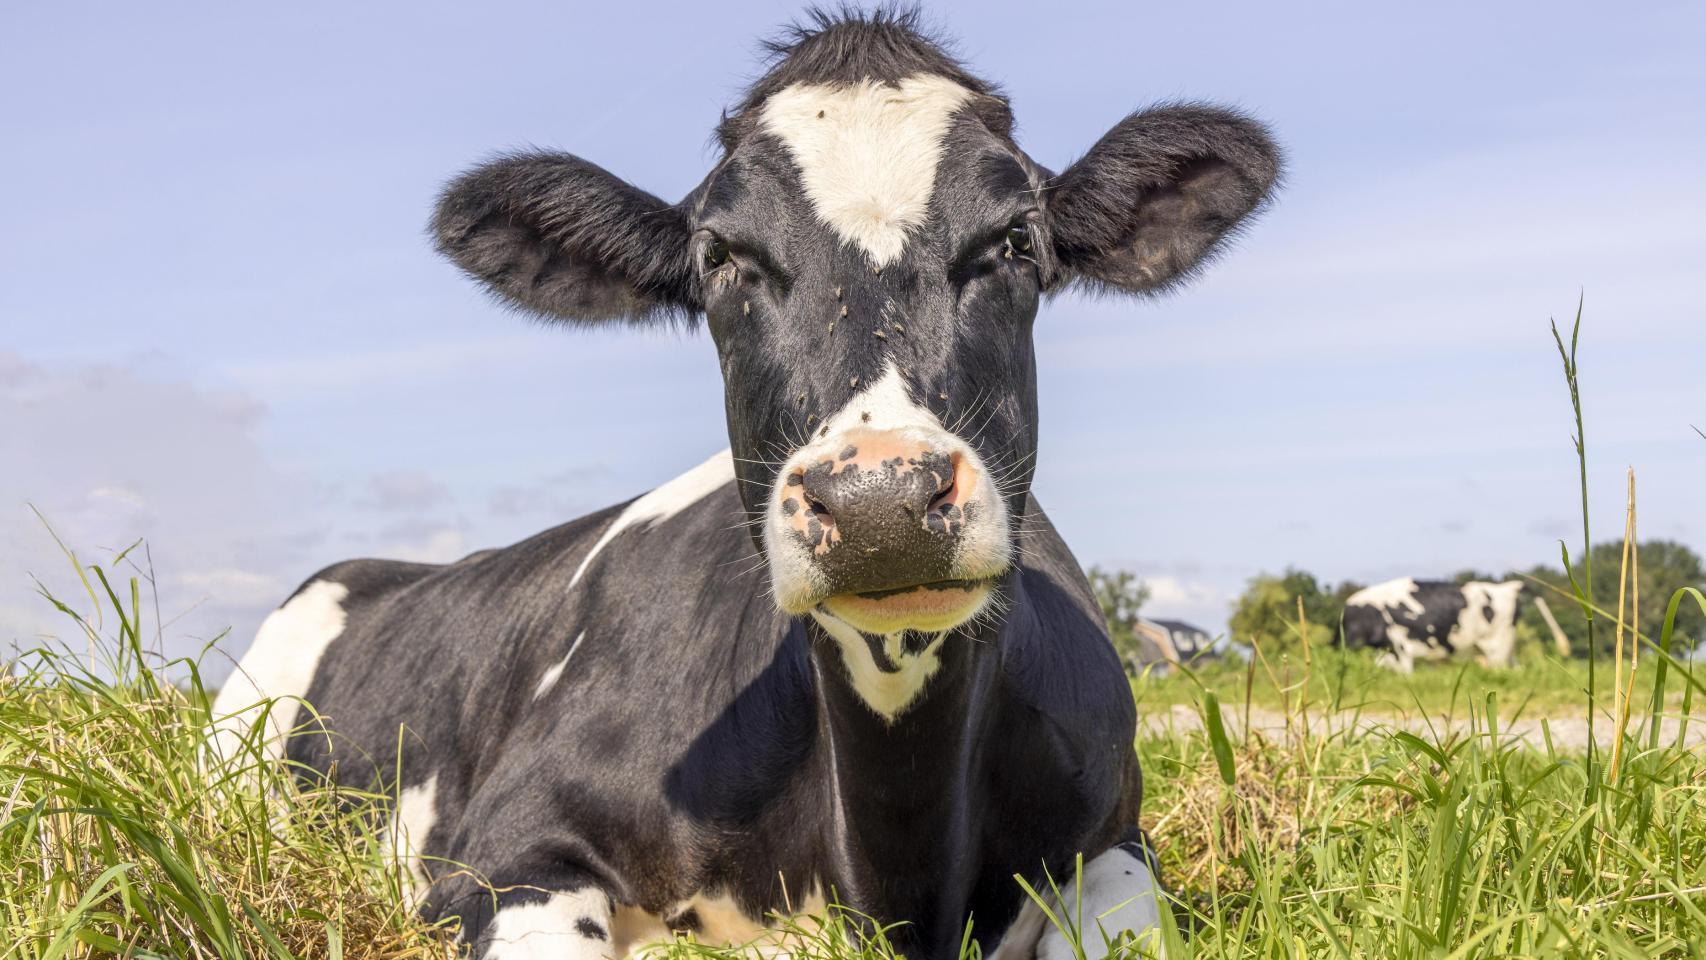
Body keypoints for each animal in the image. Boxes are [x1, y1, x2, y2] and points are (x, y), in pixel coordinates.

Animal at [211, 10, 1280, 959]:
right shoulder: (502, 852)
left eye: (1017, 240)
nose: (881, 502)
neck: (898, 865)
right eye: (721, 257)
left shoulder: (1114, 838)